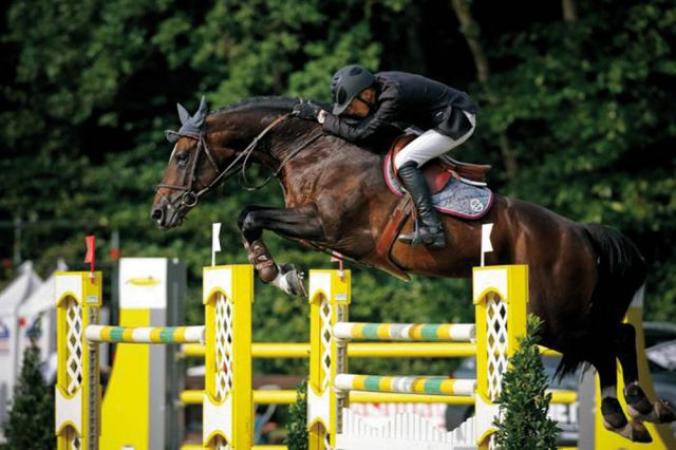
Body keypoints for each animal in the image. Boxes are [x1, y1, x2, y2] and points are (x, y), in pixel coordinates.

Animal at [151, 96, 674, 442]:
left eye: (182, 155)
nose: (160, 212)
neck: (311, 152)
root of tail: (580, 233)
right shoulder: (318, 233)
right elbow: (251, 218)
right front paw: (282, 273)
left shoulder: (327, 226)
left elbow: (250, 215)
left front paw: (274, 271)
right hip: (560, 319)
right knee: (618, 338)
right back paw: (636, 414)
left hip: (553, 317)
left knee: (611, 341)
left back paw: (633, 410)